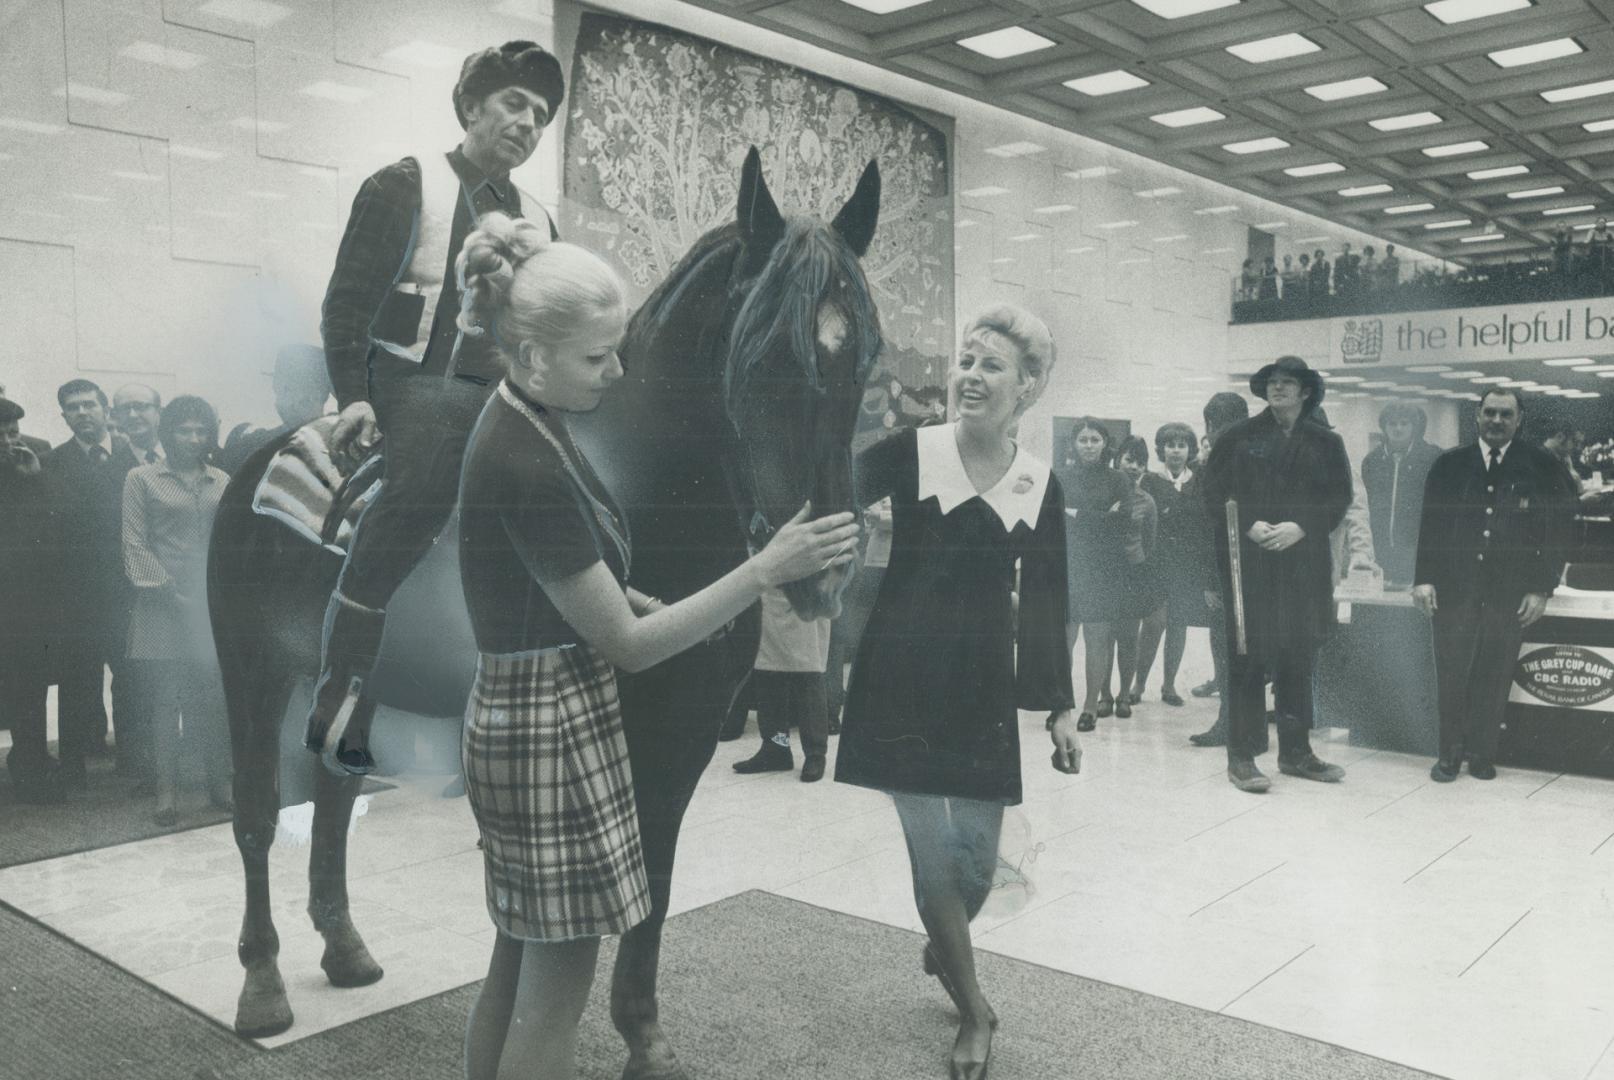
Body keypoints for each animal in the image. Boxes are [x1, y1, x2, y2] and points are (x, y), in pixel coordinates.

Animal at [204, 142, 884, 1071]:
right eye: (765, 358)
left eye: (867, 361)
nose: (825, 573)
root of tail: (258, 461)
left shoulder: (684, 729)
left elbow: (656, 875)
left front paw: (644, 1034)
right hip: (252, 669)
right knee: (257, 814)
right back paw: (263, 982)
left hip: (349, 686)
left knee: (335, 797)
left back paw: (343, 949)